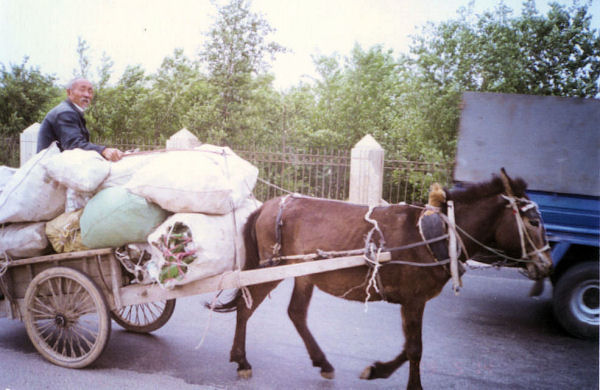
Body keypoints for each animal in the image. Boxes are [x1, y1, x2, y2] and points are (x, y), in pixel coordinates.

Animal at [212, 170, 552, 390]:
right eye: (533, 221)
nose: (547, 265)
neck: (433, 235)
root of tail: (268, 206)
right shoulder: (413, 300)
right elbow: (415, 348)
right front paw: (413, 387)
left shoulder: (411, 301)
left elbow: (409, 346)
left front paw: (375, 371)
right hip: (272, 268)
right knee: (246, 308)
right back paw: (242, 361)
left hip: (303, 274)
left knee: (295, 314)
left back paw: (323, 364)